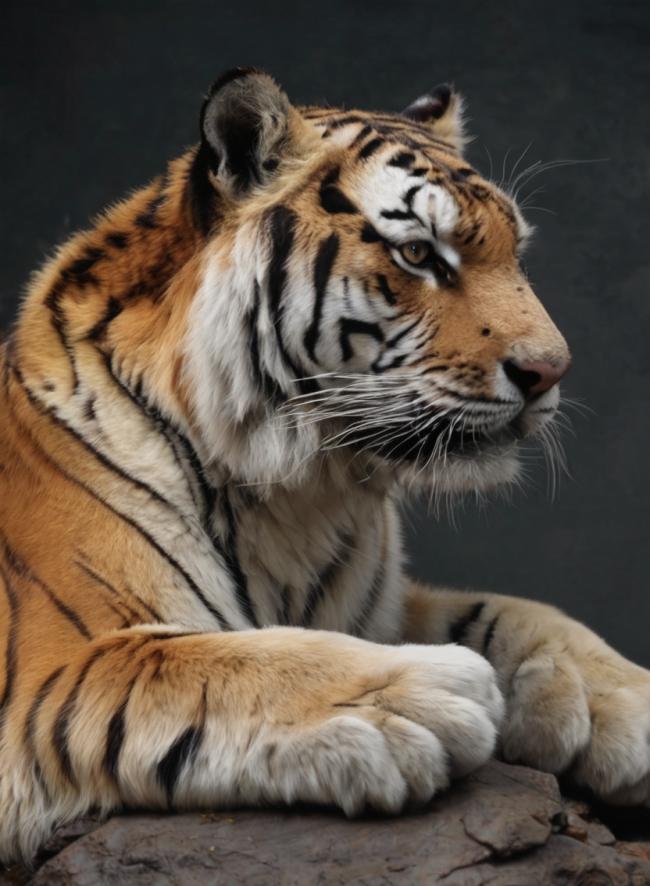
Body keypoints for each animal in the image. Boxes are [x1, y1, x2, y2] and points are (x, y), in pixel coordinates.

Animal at [1, 66, 648, 864]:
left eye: (515, 253)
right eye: (419, 255)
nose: (551, 372)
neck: (300, 492)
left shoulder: (383, 605)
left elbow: (513, 610)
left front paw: (624, 696)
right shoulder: (61, 663)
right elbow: (226, 661)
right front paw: (417, 695)